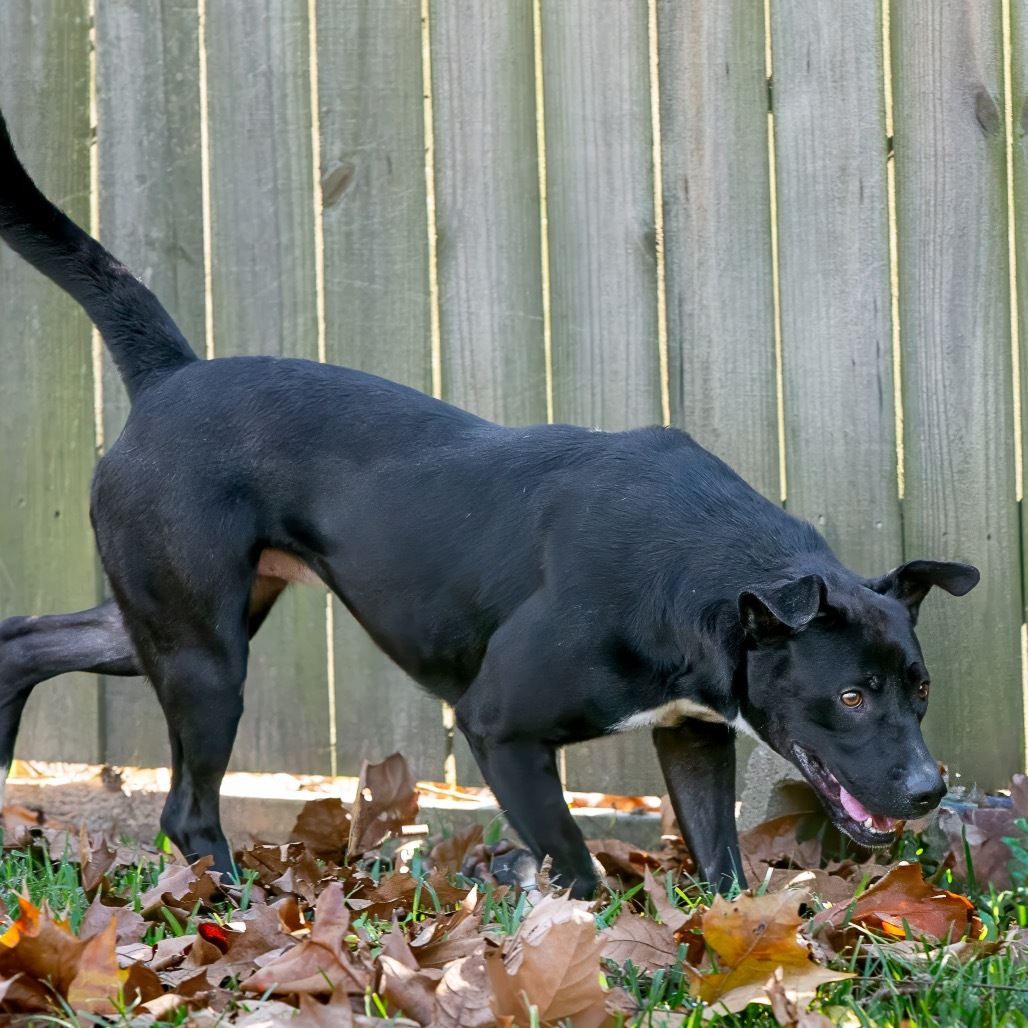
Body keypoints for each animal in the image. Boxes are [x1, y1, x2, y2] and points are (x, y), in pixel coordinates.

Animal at [0, 112, 978, 896]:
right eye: (850, 696)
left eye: (922, 686)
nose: (930, 789)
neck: (706, 573)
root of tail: (169, 377)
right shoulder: (499, 727)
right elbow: (575, 863)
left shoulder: (693, 736)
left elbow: (722, 866)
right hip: (205, 653)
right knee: (187, 811)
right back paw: (234, 904)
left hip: (174, 620)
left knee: (28, 639)